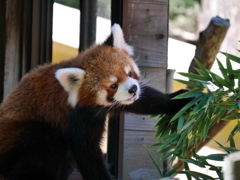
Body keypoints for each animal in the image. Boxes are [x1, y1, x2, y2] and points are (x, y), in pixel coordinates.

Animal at [0, 24, 191, 180]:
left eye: (129, 73)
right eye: (113, 85)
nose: (133, 89)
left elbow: (145, 101)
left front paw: (182, 100)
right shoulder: (79, 115)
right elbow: (87, 152)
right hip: (25, 134)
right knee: (44, 147)